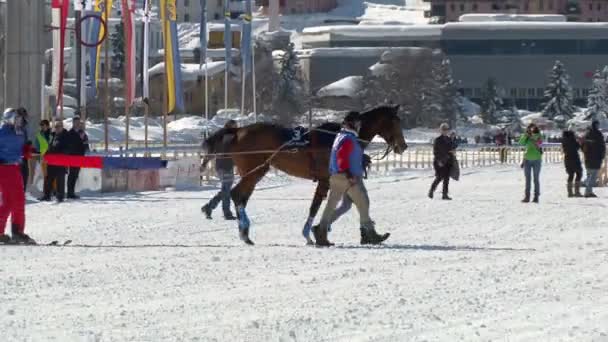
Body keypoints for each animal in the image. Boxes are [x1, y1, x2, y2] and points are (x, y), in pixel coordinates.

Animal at [203, 105, 408, 246]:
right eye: (394, 121)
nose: (403, 146)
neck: (335, 137)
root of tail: (238, 131)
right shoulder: (326, 180)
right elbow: (315, 207)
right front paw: (311, 234)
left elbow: (346, 204)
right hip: (253, 171)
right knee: (237, 194)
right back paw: (244, 230)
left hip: (257, 171)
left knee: (240, 196)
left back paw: (244, 232)